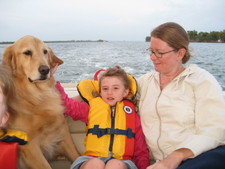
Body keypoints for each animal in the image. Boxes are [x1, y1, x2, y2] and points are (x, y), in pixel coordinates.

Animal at [1, 35, 79, 169]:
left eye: (45, 51)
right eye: (27, 52)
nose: (45, 69)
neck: (38, 96)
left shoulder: (62, 132)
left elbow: (76, 155)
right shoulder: (30, 146)